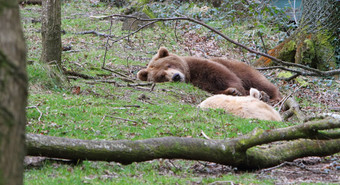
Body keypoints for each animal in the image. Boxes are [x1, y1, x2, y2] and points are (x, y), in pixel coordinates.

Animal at [137, 46, 282, 101]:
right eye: (161, 76)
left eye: (168, 65)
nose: (176, 76)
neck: (191, 75)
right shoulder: (199, 84)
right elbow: (213, 90)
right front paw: (233, 91)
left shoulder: (204, 67)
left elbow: (224, 76)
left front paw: (239, 90)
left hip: (242, 69)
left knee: (260, 82)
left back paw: (270, 96)